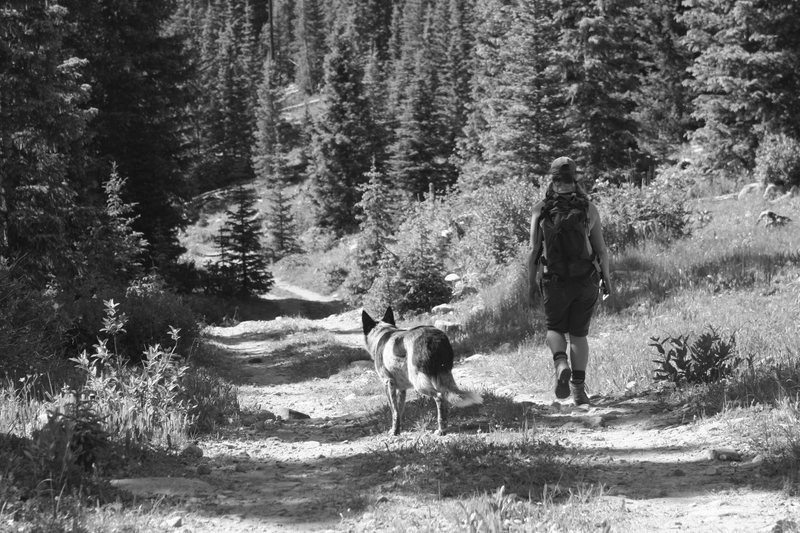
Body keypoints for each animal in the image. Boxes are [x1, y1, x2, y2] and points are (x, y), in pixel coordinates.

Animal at [360, 306, 482, 434]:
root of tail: (434, 337)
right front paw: (398, 430)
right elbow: (399, 411)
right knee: (445, 398)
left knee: (439, 397)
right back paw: (443, 426)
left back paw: (441, 429)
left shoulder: (388, 383)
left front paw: (394, 432)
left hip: (419, 382)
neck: (383, 332)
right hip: (442, 376)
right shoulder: (401, 389)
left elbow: (394, 411)